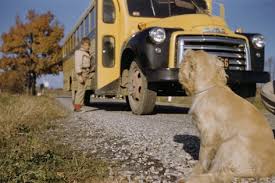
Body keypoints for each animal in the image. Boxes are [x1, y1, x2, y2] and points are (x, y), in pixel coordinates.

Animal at [178, 49, 275, 182]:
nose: (188, 50)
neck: (210, 86)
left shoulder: (208, 133)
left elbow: (203, 157)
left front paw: (194, 171)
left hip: (229, 144)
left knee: (220, 174)